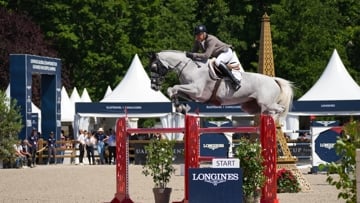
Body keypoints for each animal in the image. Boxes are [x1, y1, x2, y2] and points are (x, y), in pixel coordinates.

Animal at [149, 50, 292, 122]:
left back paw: (274, 122)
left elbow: (174, 88)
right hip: (253, 107)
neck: (189, 67)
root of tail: (273, 80)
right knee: (272, 111)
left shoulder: (196, 91)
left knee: (280, 109)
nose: (153, 87)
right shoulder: (193, 94)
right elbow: (174, 90)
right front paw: (180, 107)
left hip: (267, 103)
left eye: (154, 67)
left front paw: (180, 106)